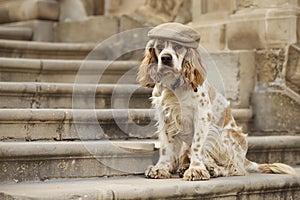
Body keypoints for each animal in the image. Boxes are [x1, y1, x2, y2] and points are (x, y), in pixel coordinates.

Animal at [137, 22, 296, 180]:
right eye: (159, 47)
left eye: (177, 46)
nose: (165, 58)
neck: (174, 87)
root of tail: (244, 158)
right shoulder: (165, 117)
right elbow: (166, 148)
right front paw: (161, 168)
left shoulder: (201, 116)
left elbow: (196, 146)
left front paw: (196, 170)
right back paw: (185, 167)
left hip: (223, 136)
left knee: (234, 167)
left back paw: (214, 169)